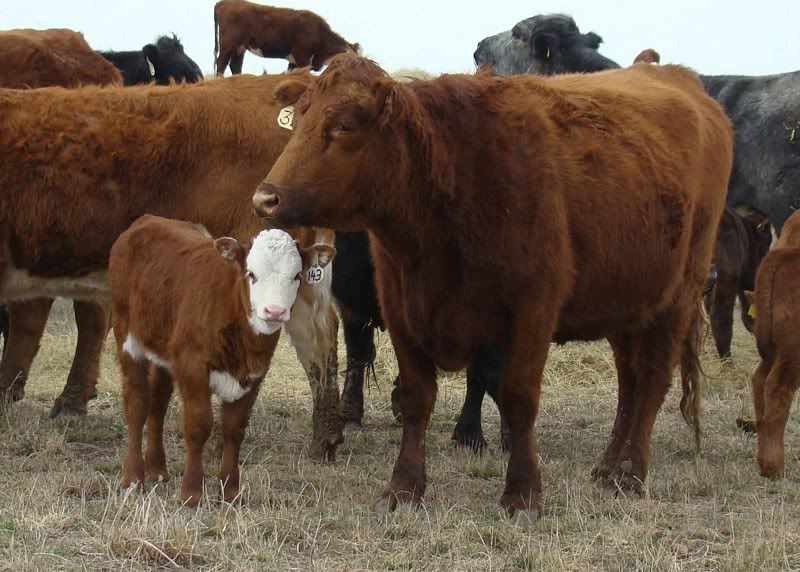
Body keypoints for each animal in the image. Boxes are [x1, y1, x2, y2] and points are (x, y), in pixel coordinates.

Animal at [110, 215, 335, 506]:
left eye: (297, 276)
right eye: (251, 274)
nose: (275, 311)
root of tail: (147, 220)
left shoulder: (254, 374)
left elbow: (234, 429)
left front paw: (230, 491)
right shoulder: (192, 367)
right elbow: (199, 426)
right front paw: (191, 493)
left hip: (162, 350)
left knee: (157, 404)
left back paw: (157, 469)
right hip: (127, 336)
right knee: (137, 403)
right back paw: (133, 478)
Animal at [214, 0, 360, 75]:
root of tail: (224, 2)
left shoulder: (294, 61)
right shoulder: (302, 57)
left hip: (240, 47)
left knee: (235, 65)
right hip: (228, 44)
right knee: (221, 64)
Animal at [253, 54, 733, 513]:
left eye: (344, 125)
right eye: (298, 118)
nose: (265, 198)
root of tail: (684, 81)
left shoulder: (532, 310)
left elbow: (517, 397)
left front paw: (522, 493)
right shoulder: (400, 307)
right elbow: (415, 398)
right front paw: (404, 487)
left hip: (678, 296)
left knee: (651, 379)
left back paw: (631, 474)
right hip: (627, 304)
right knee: (629, 382)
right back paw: (607, 467)